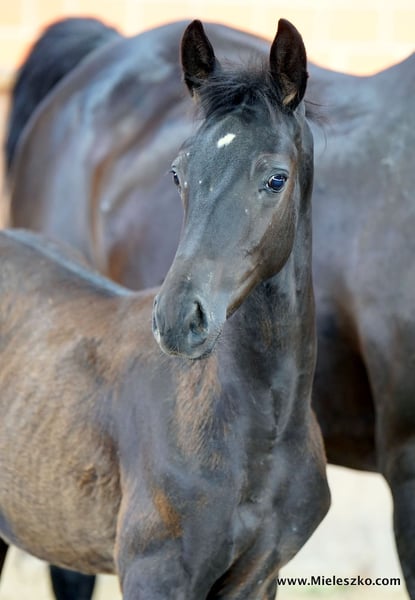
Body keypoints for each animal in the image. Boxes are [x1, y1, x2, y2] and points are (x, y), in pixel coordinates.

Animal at [6, 16, 415, 599]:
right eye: (177, 173)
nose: (178, 319)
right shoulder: (155, 574)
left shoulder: (260, 574)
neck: (257, 429)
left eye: (276, 178)